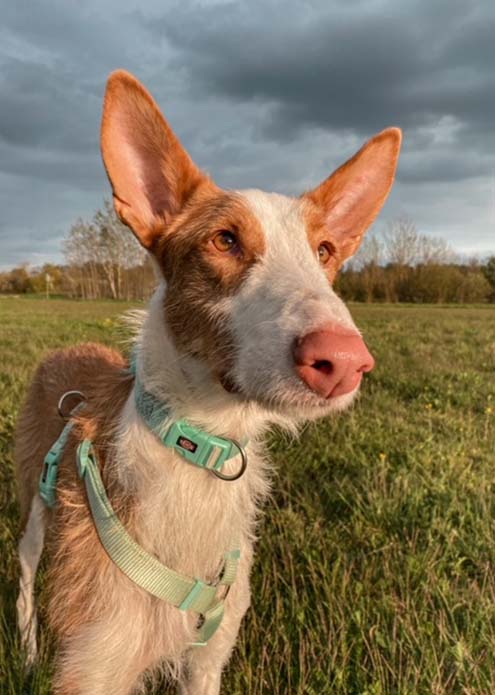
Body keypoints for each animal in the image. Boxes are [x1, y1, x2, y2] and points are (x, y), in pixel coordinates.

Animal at [15, 72, 404, 695]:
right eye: (224, 241)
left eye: (324, 251)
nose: (345, 360)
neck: (199, 444)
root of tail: (66, 350)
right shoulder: (93, 666)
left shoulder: (208, 658)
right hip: (34, 504)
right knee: (25, 576)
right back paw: (27, 650)